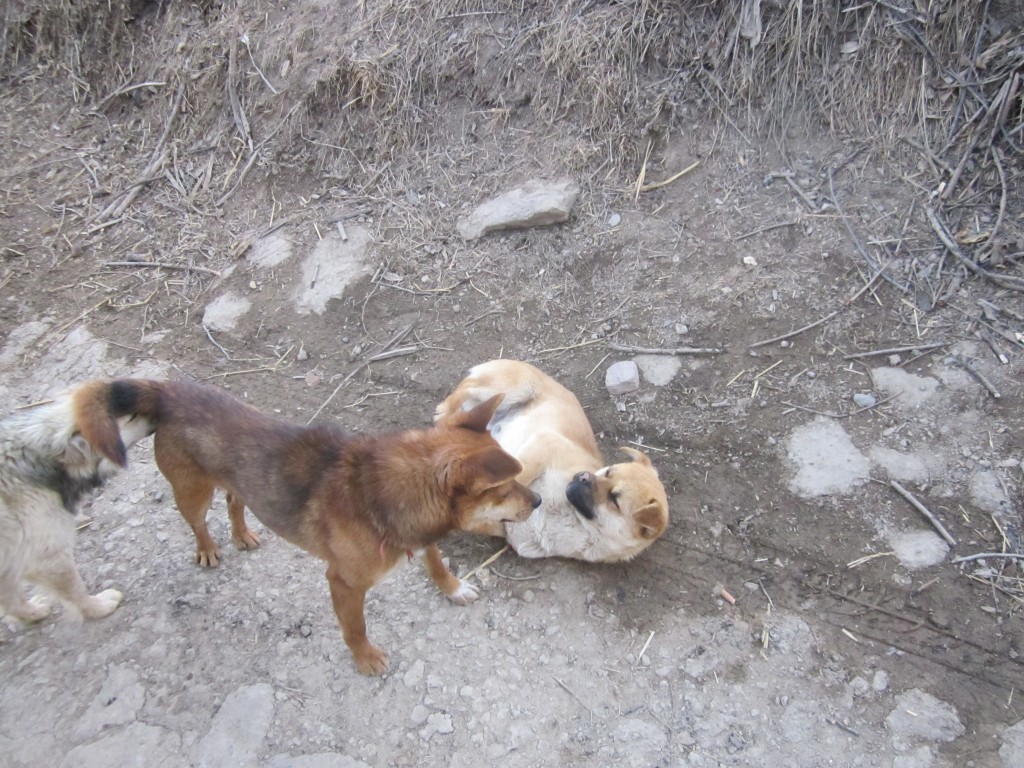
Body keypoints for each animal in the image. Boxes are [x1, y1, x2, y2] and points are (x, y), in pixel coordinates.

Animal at [0, 381, 155, 624]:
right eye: (131, 417)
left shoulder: (9, 562)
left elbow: (12, 599)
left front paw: (32, 613)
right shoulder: (48, 556)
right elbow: (76, 591)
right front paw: (98, 607)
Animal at [106, 378, 540, 675]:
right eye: (504, 489)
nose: (537, 501)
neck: (384, 492)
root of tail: (168, 391)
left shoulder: (418, 536)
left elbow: (436, 563)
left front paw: (452, 588)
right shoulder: (344, 583)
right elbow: (357, 627)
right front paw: (365, 658)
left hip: (239, 480)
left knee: (234, 500)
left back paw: (242, 534)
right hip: (192, 493)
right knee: (197, 521)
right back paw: (209, 547)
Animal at [435, 360, 669, 562]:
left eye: (614, 500)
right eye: (608, 471)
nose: (582, 477)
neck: (569, 516)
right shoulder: (545, 442)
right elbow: (518, 476)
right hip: (513, 389)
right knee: (463, 393)